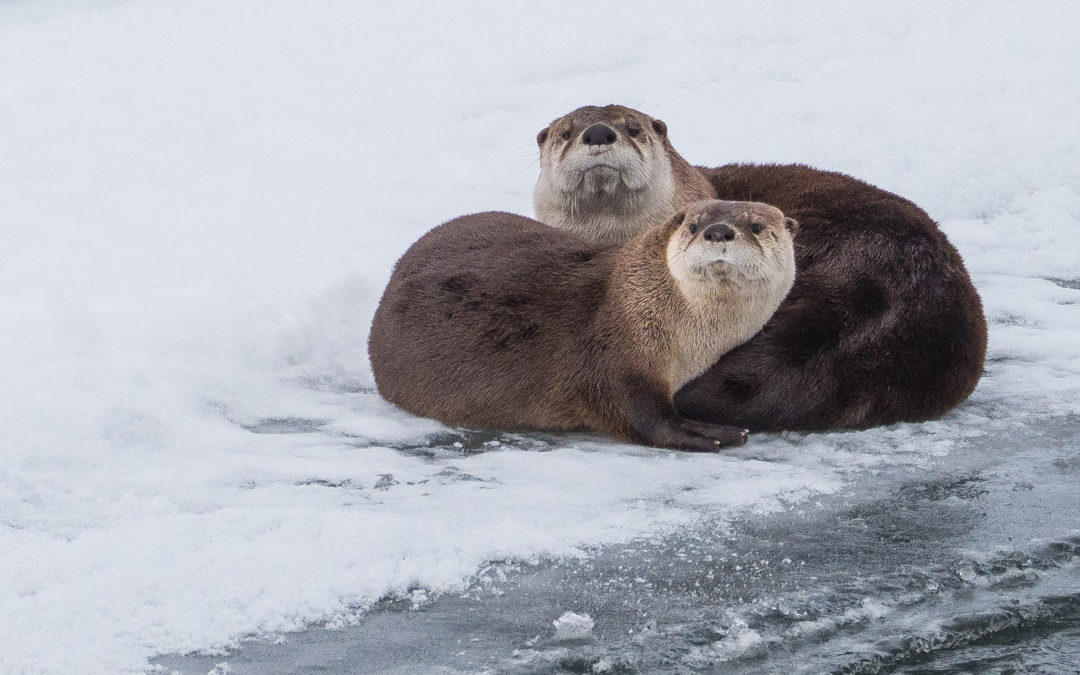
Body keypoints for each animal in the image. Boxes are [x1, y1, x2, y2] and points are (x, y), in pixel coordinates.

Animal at [367, 199, 799, 453]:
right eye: (693, 225)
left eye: (756, 226)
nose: (718, 231)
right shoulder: (611, 356)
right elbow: (639, 417)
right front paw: (714, 432)